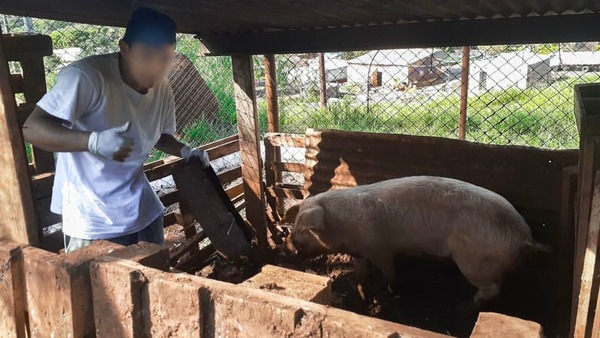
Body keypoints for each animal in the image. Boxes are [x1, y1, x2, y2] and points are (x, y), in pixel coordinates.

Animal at [282, 176, 548, 302]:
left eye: (301, 230)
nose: (285, 247)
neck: (343, 227)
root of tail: (524, 236)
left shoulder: (381, 248)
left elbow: (390, 270)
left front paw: (392, 290)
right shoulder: (360, 251)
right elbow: (361, 273)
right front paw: (362, 292)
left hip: (474, 260)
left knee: (490, 288)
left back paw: (468, 303)